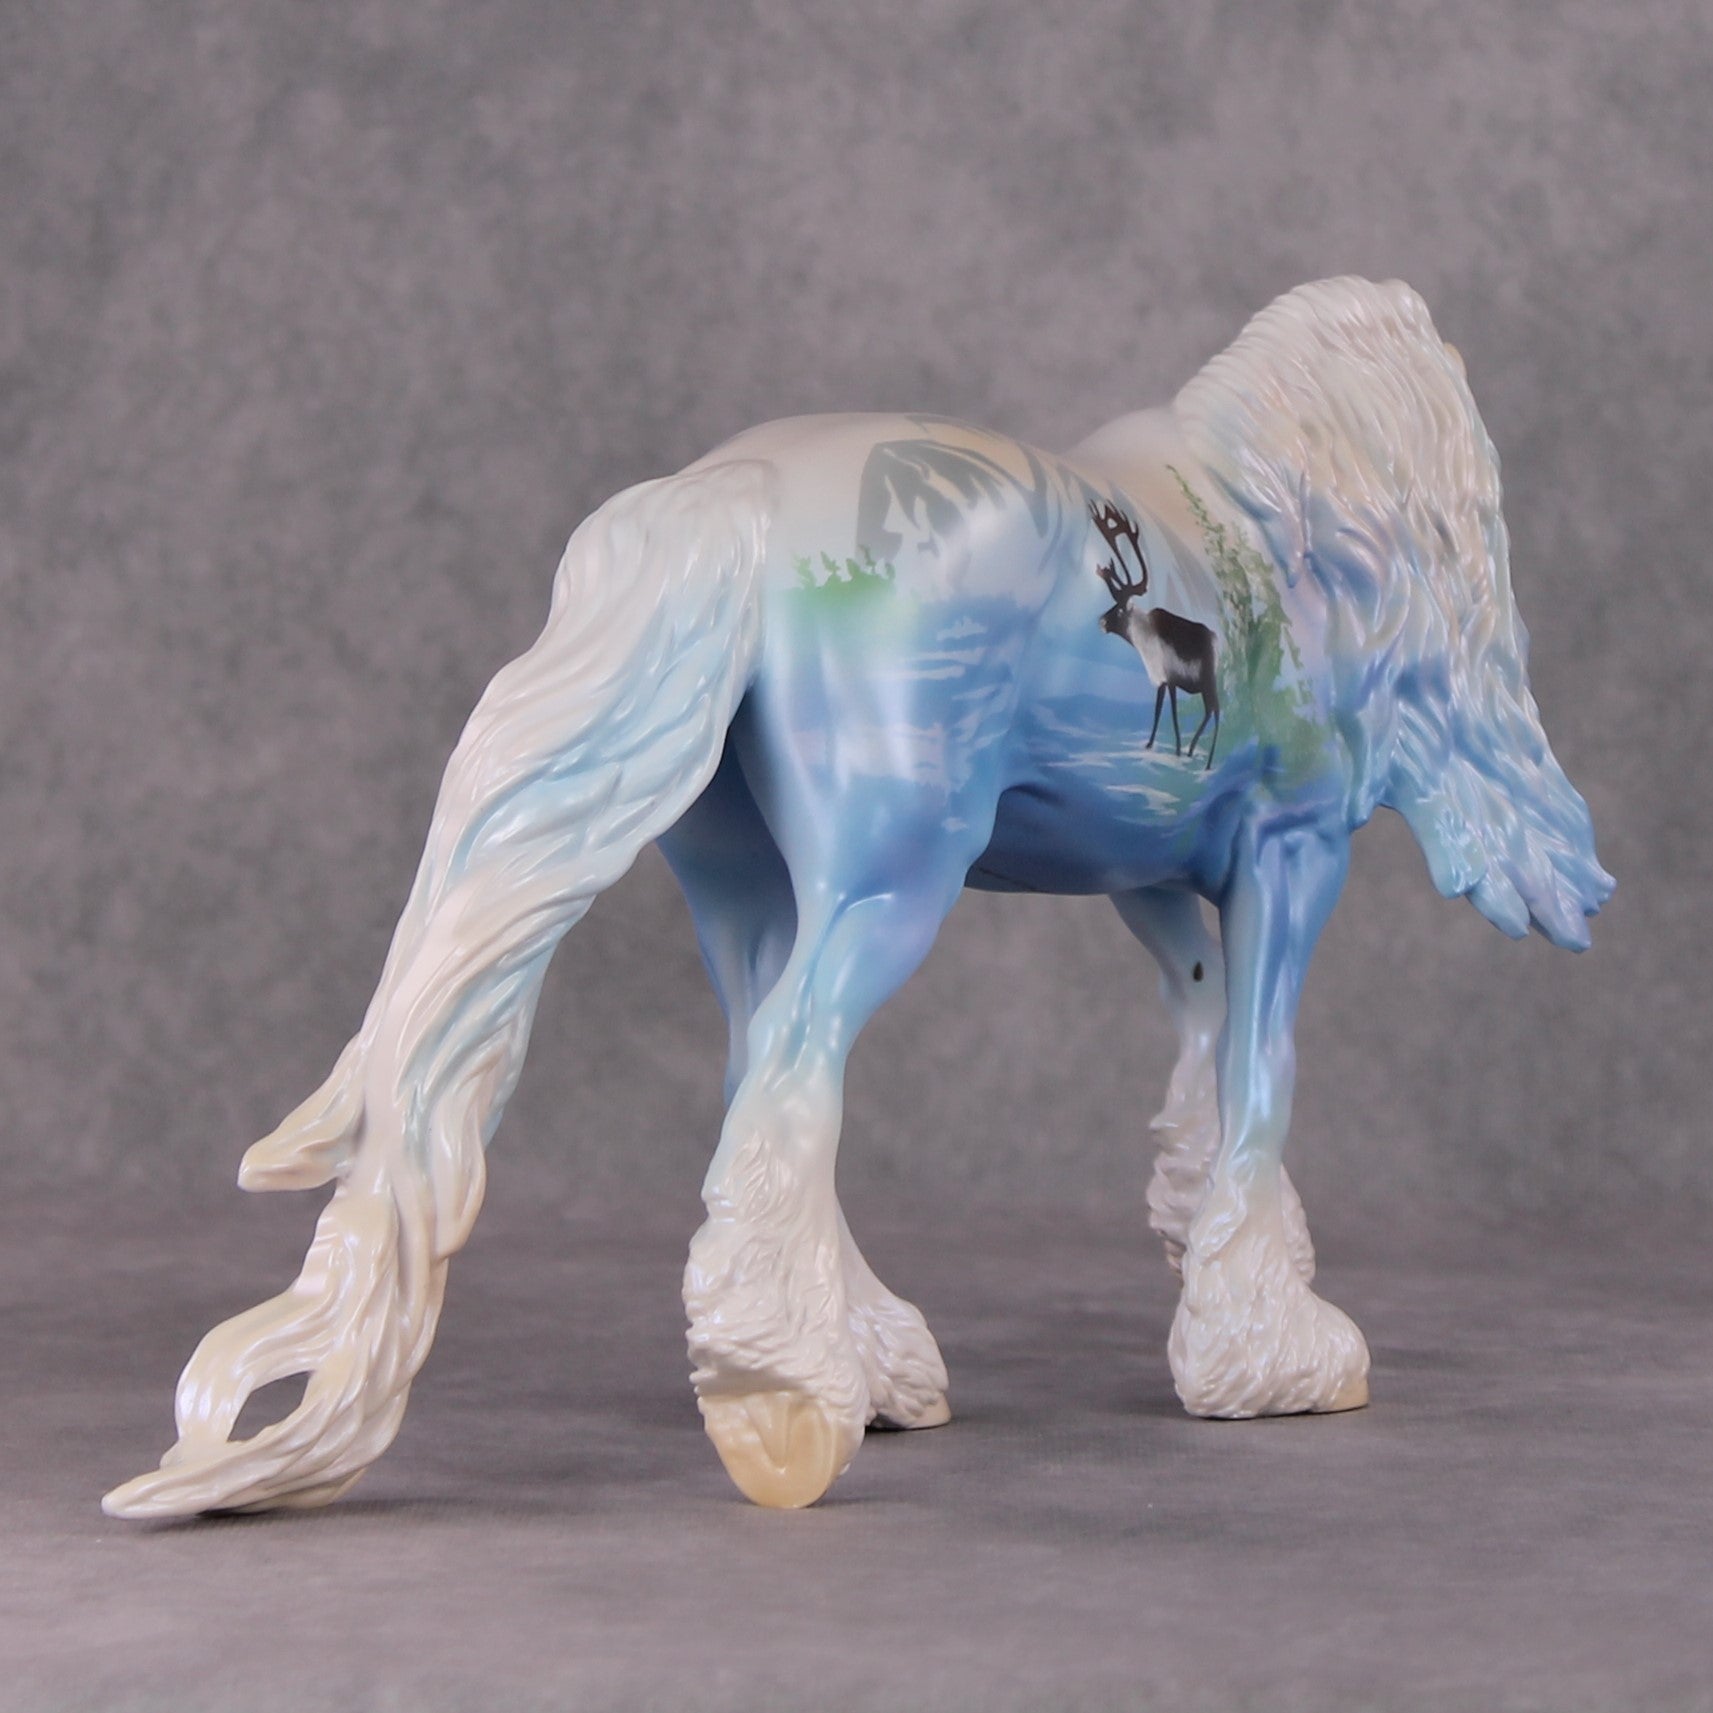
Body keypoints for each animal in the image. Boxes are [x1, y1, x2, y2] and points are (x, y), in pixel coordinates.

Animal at [1091, 498, 1221, 768]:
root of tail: (1217, 642)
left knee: (1216, 709)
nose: (1101, 621)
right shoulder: (1165, 681)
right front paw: (1160, 747)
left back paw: (1205, 761)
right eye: (1113, 604)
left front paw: (1171, 750)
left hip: (1207, 681)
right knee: (1210, 710)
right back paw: (1193, 751)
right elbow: (1163, 711)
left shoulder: (1166, 678)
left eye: (1120, 609)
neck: (1143, 637)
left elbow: (1167, 712)